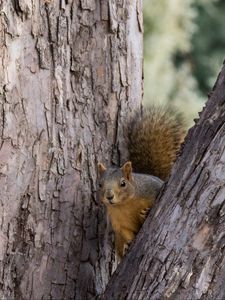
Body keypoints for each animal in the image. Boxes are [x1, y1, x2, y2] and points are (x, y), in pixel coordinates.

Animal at [97, 106, 185, 258]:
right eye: (100, 184)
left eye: (123, 183)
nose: (109, 196)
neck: (125, 205)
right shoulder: (118, 221)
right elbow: (126, 232)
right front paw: (128, 245)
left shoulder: (152, 189)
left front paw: (145, 213)